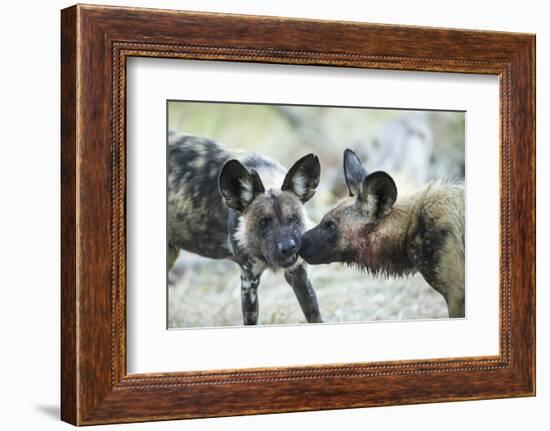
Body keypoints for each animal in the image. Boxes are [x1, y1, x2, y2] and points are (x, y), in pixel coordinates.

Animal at [168, 133, 324, 326]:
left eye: (293, 218)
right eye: (263, 223)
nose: (288, 248)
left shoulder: (298, 274)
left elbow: (314, 315)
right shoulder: (249, 282)